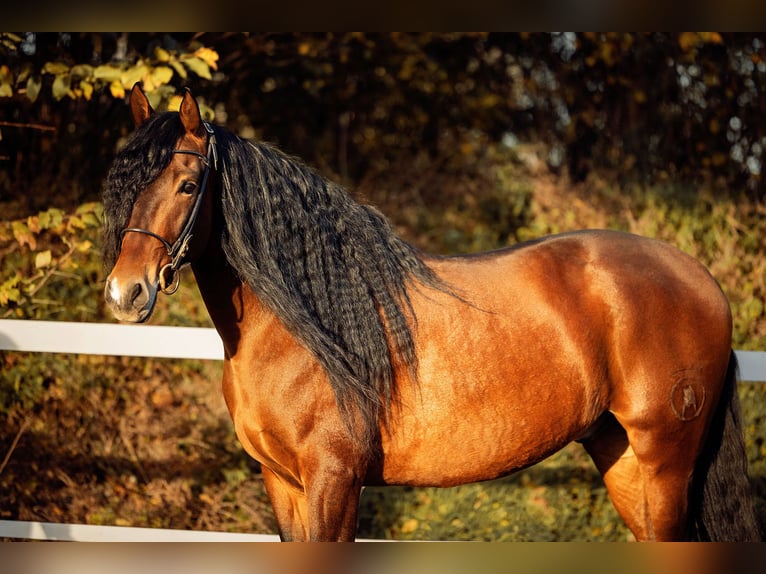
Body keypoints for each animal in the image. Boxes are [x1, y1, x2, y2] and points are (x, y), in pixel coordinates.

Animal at [102, 83, 761, 541]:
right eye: (123, 184)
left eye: (188, 185)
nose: (125, 293)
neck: (307, 330)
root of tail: (702, 280)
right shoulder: (282, 483)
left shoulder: (333, 479)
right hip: (622, 458)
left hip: (664, 464)